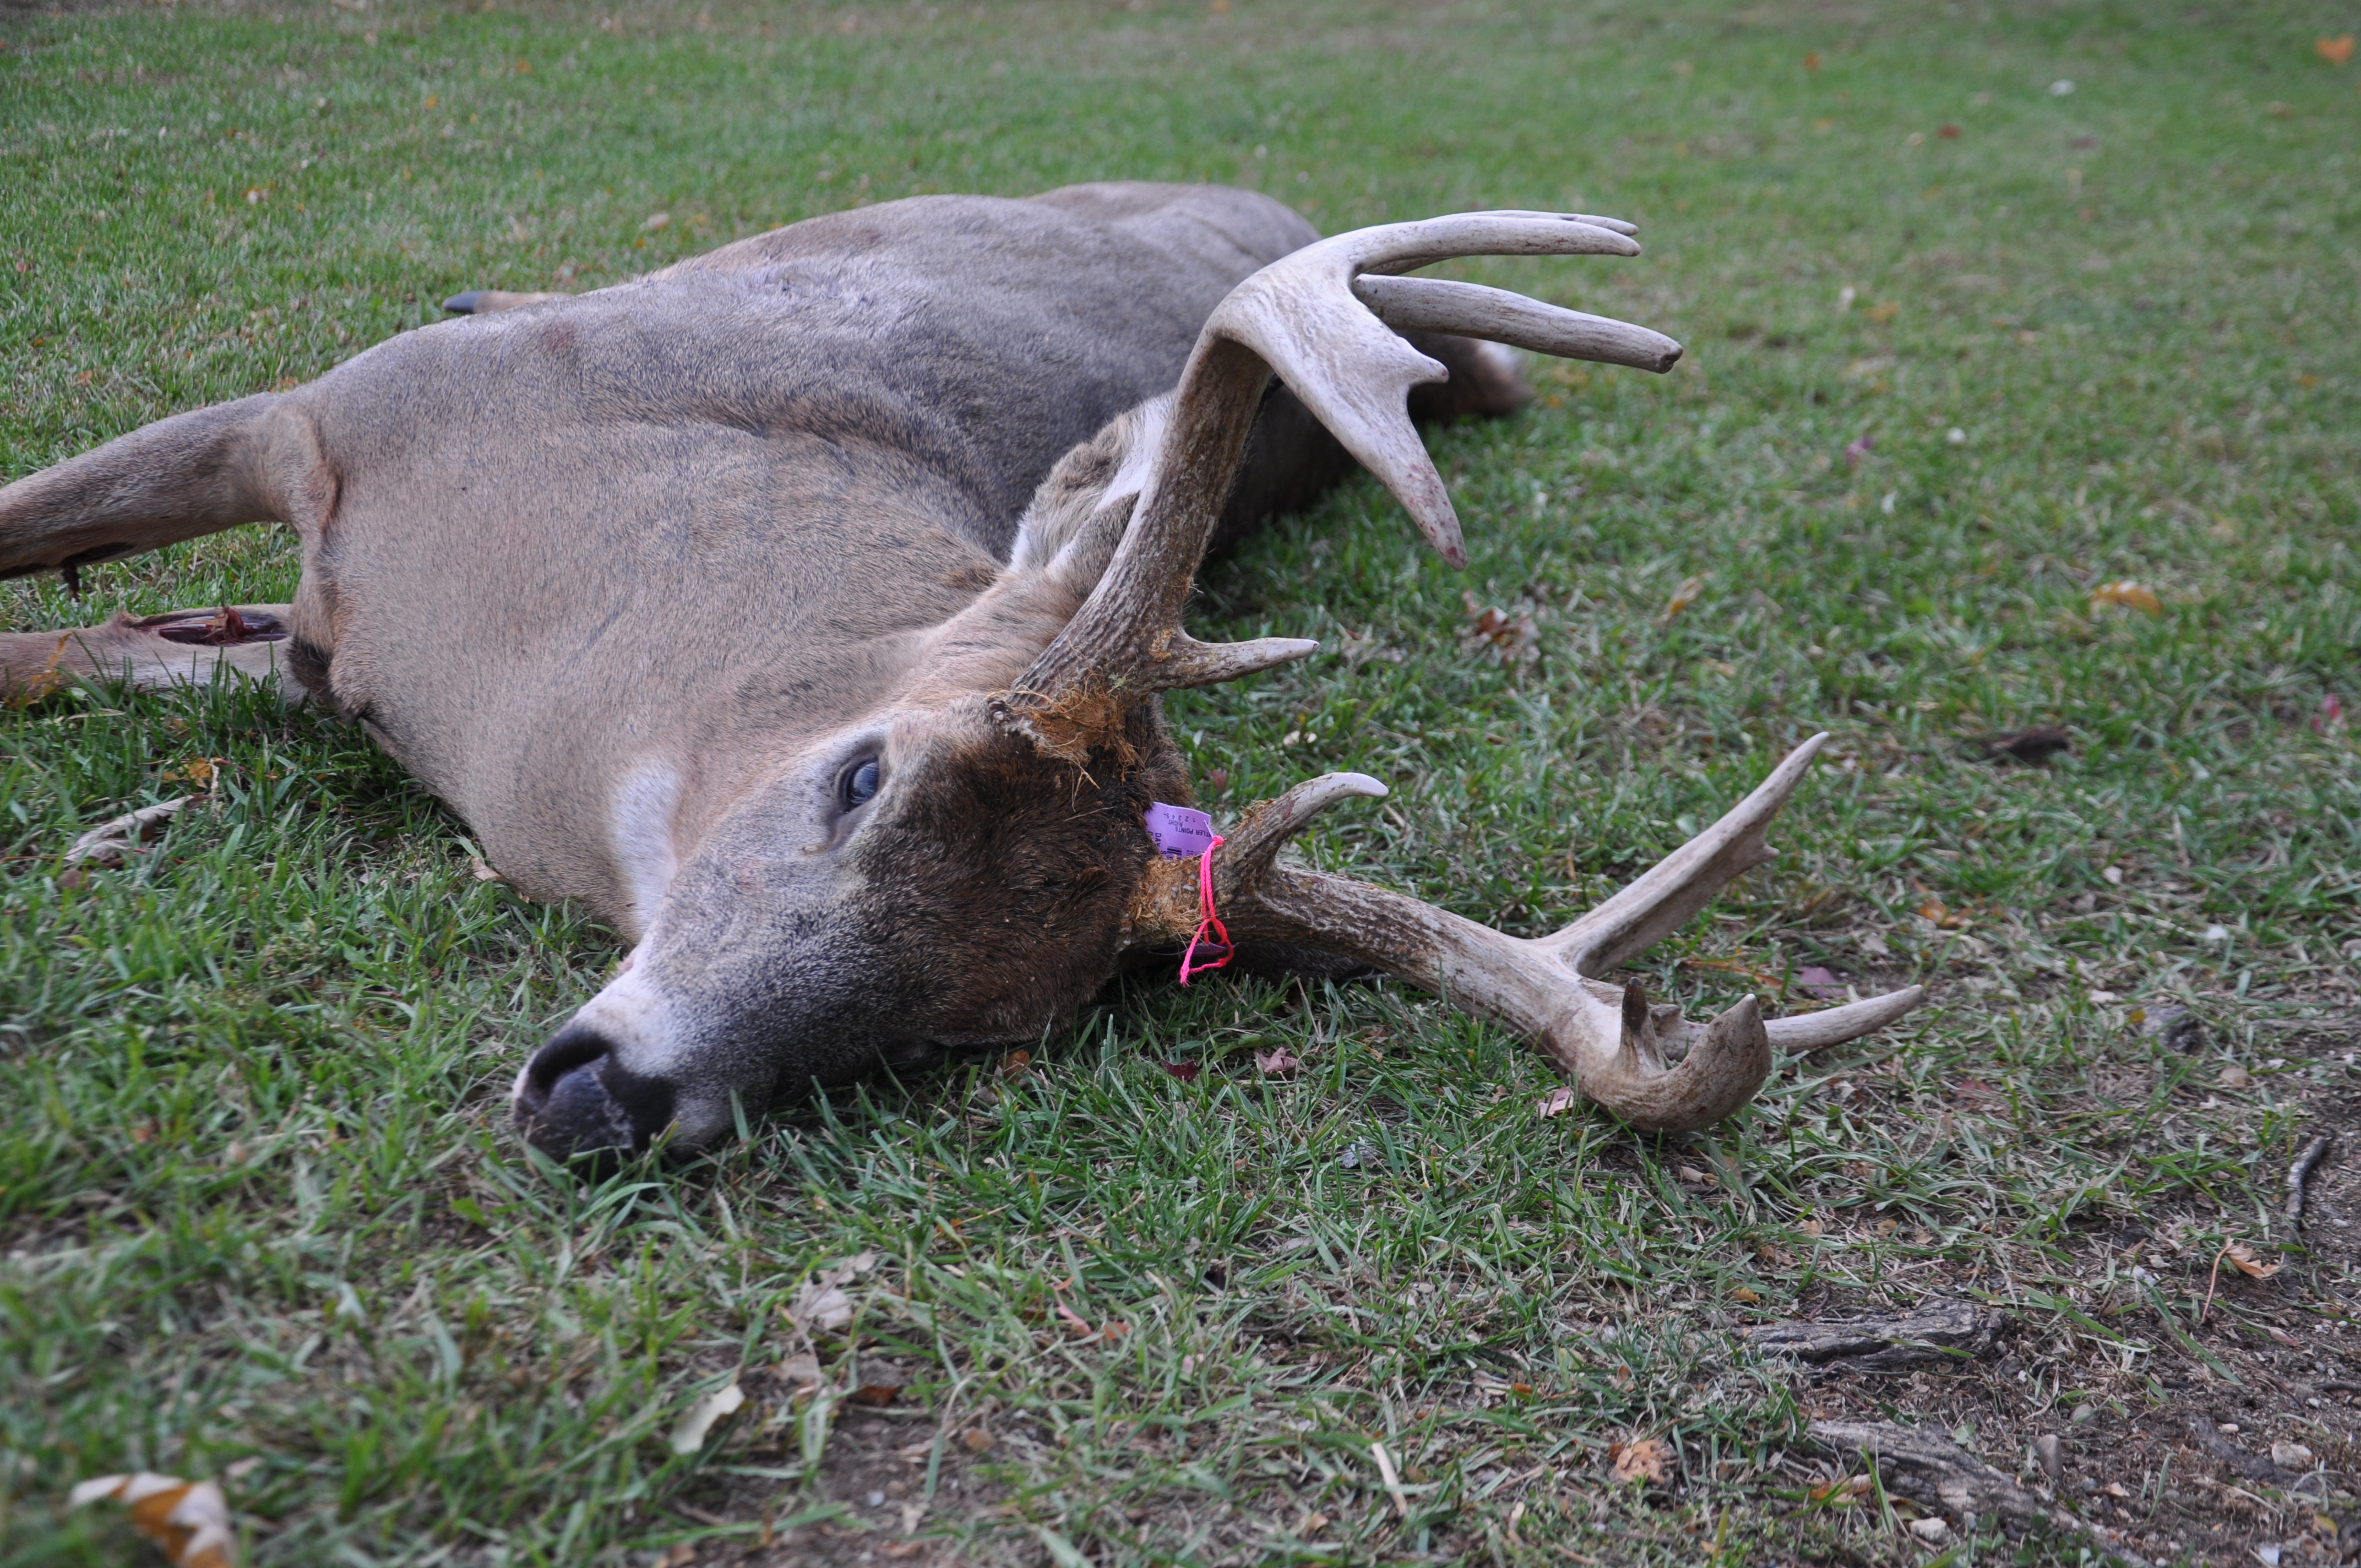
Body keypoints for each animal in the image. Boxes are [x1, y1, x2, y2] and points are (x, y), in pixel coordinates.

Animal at [0, 182, 1922, 1162]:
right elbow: (38, 581)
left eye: (970, 1026)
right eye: (866, 774)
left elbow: (60, 645)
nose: (611, 1100)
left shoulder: (319, 636)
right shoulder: (324, 418)